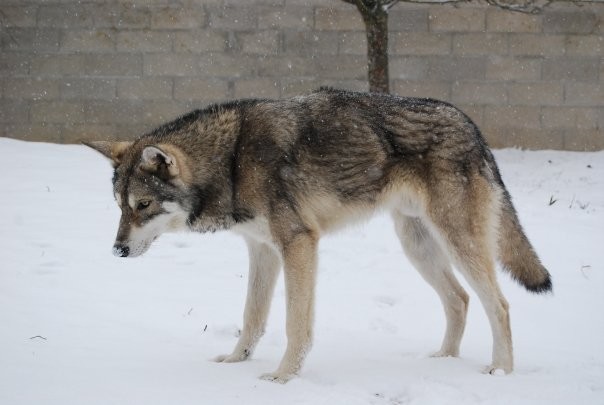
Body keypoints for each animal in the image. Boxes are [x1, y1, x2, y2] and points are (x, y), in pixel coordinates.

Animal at [85, 87, 552, 380]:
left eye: (143, 206)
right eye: (120, 206)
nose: (117, 250)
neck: (231, 160)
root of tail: (472, 126)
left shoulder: (298, 244)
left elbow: (295, 323)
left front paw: (281, 377)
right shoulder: (262, 250)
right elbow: (252, 318)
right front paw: (236, 363)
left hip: (458, 242)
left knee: (499, 305)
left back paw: (500, 371)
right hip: (417, 246)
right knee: (459, 299)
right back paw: (442, 361)